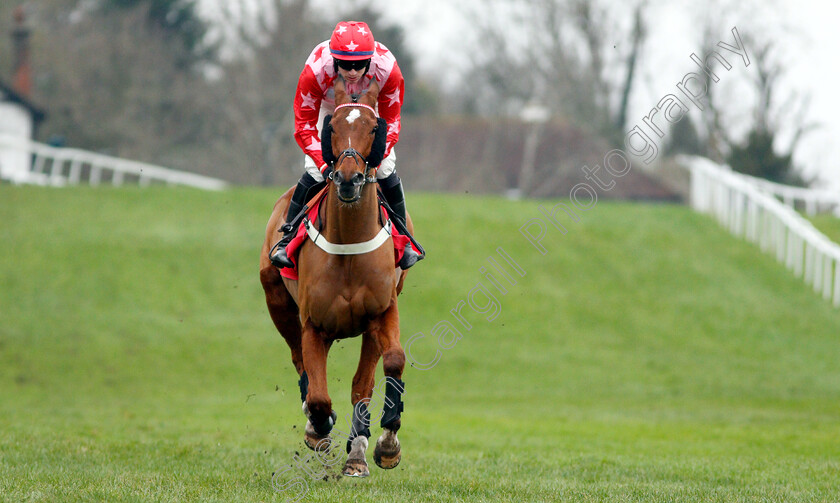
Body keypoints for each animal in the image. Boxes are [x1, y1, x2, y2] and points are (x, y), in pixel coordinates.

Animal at [260, 78, 410, 476]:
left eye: (373, 128)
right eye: (332, 128)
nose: (347, 178)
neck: (349, 246)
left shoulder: (382, 313)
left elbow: (386, 367)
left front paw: (382, 445)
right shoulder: (313, 325)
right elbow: (319, 396)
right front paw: (319, 427)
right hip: (277, 302)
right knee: (300, 363)